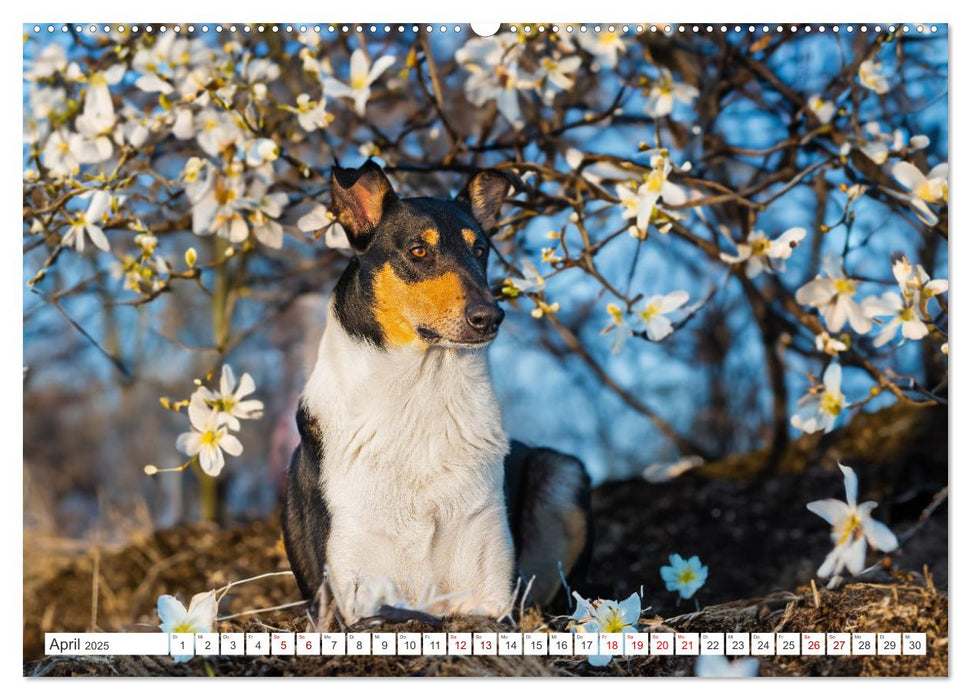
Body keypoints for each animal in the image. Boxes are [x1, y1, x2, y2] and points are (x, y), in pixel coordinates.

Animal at [280, 161, 592, 620]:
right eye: (417, 251)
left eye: (479, 251)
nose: (490, 317)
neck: (422, 392)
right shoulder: (356, 592)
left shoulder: (489, 594)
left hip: (562, 472)